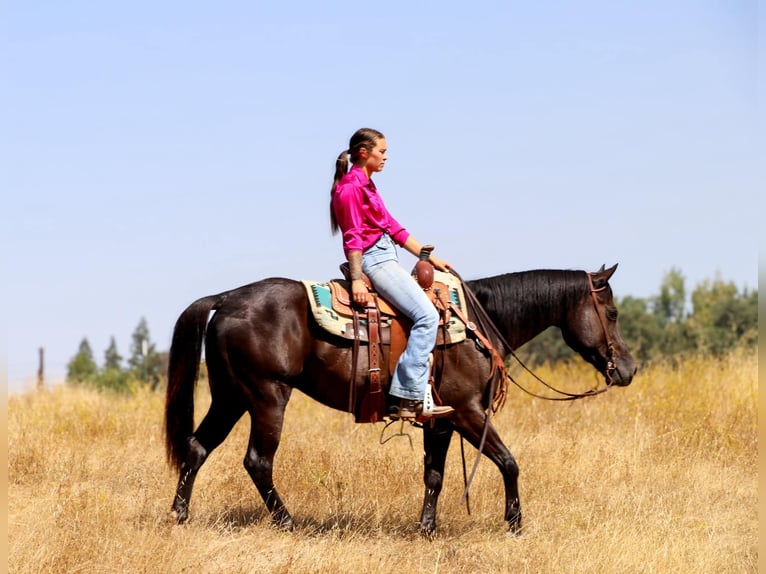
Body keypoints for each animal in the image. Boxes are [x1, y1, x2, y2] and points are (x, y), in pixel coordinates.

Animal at [164, 263, 636, 535]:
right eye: (612, 313)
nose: (628, 369)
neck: (481, 320)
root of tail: (227, 298)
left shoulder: (441, 420)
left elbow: (435, 476)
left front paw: (426, 529)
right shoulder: (469, 412)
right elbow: (509, 462)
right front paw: (515, 525)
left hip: (230, 397)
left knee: (197, 448)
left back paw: (179, 516)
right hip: (267, 396)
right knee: (258, 461)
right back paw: (288, 523)